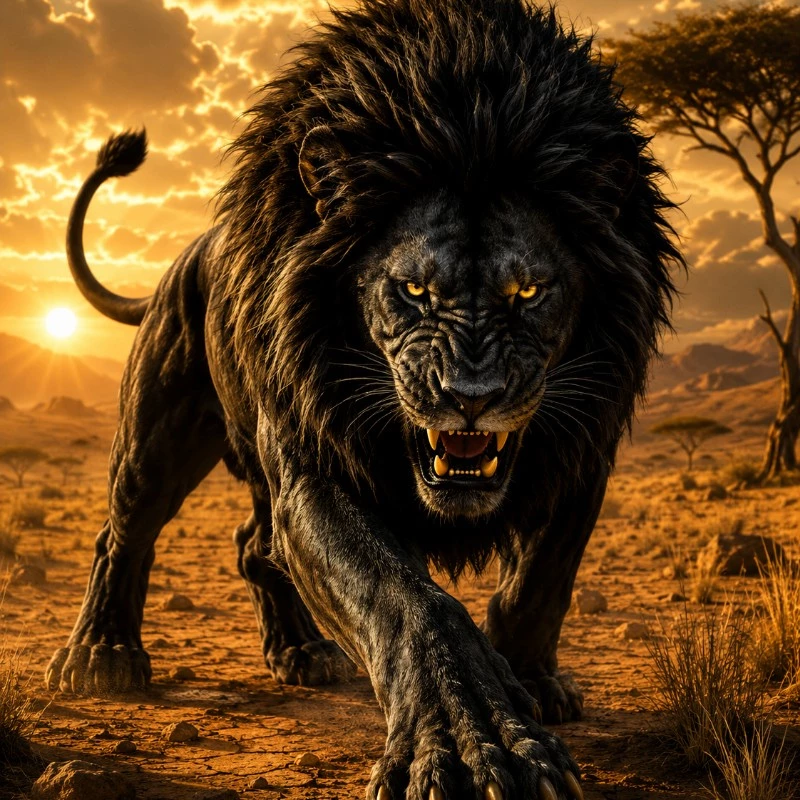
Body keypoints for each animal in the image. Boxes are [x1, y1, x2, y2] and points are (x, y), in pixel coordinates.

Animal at [45, 0, 682, 797]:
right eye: (412, 289)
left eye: (529, 292)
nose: (471, 397)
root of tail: (184, 257)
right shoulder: (317, 461)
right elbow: (405, 599)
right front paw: (474, 745)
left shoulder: (581, 452)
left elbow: (542, 581)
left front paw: (531, 684)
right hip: (158, 435)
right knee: (123, 533)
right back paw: (102, 659)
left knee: (253, 544)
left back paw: (303, 652)